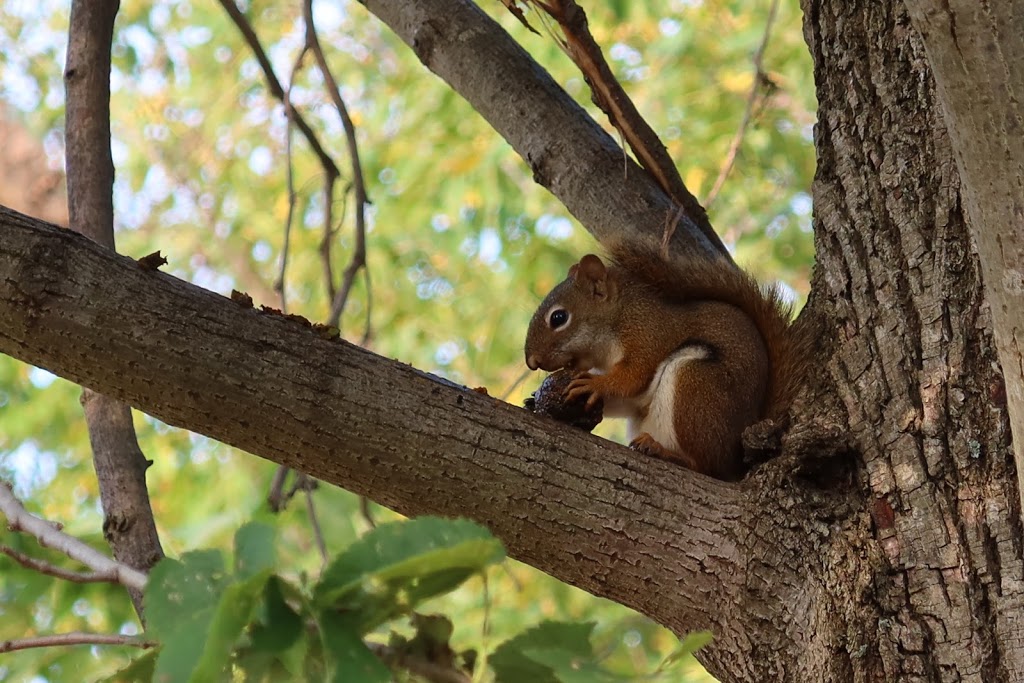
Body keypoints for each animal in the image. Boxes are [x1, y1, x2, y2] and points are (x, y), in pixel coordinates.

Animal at [528, 242, 806, 479]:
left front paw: (594, 384)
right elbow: (623, 399)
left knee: (707, 467)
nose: (531, 361)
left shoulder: (649, 337)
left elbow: (632, 378)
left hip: (695, 384)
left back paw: (665, 452)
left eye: (559, 318)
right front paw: (536, 399)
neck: (619, 316)